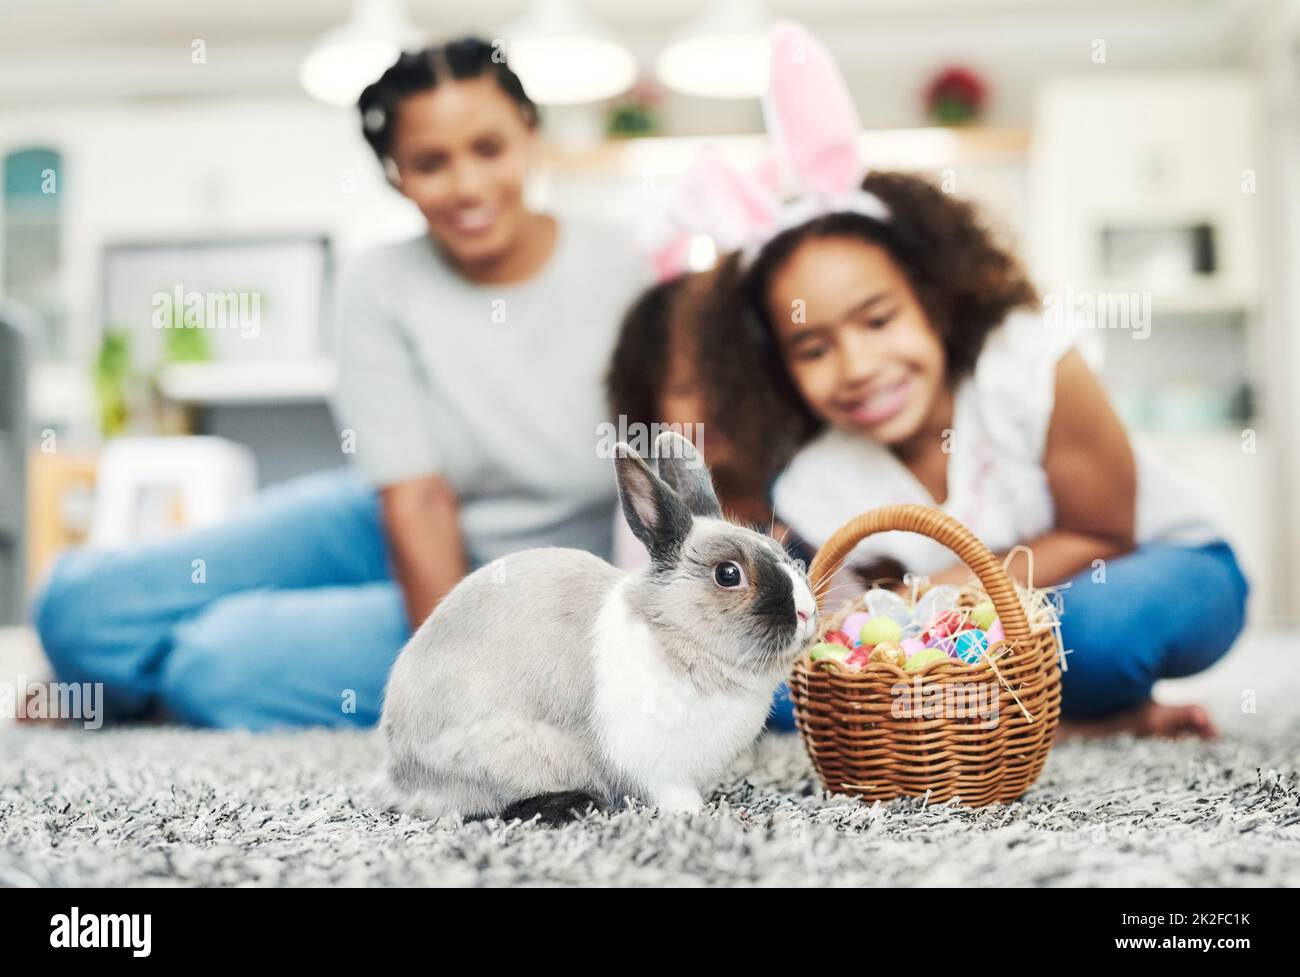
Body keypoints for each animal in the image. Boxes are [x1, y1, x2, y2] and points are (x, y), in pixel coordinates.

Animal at [379, 431, 816, 821]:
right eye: (728, 574)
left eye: (781, 553)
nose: (806, 612)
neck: (673, 633)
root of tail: (400, 774)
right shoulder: (653, 764)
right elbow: (670, 791)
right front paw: (691, 811)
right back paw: (576, 805)